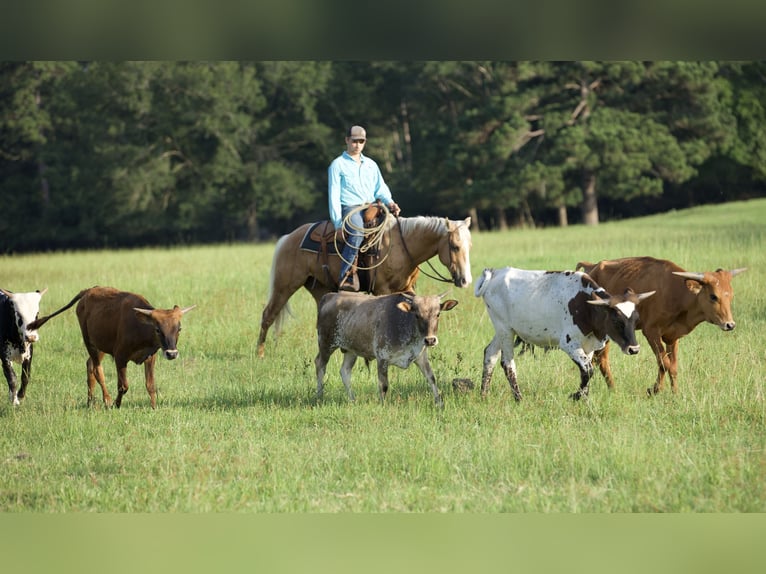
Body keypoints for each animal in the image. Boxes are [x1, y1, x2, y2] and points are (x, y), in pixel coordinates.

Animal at [29, 288, 198, 410]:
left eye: (179, 328)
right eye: (157, 329)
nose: (172, 353)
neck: (140, 327)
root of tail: (88, 291)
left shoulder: (150, 357)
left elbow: (150, 385)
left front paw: (154, 407)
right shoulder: (120, 356)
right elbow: (123, 386)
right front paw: (116, 405)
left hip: (100, 346)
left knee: (89, 365)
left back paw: (90, 401)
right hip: (89, 342)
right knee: (97, 370)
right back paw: (106, 400)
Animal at [260, 216, 474, 360]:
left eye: (470, 246)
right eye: (454, 246)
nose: (466, 280)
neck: (401, 246)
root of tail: (288, 237)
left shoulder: (407, 289)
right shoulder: (383, 290)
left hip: (320, 288)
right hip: (284, 286)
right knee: (268, 315)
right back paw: (259, 354)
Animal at [316, 292, 460, 410]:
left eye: (438, 314)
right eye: (417, 315)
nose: (430, 340)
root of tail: (329, 296)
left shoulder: (421, 357)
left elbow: (431, 378)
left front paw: (440, 403)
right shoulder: (382, 358)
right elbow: (384, 385)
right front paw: (383, 405)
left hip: (351, 350)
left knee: (345, 371)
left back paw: (352, 399)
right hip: (326, 344)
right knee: (320, 366)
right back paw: (319, 396)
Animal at [476, 268, 656, 400]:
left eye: (635, 319)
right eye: (616, 320)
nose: (634, 349)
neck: (585, 305)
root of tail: (494, 274)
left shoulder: (589, 347)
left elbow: (586, 372)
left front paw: (584, 398)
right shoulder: (569, 344)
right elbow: (588, 370)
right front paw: (576, 396)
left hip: (503, 331)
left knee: (490, 354)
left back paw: (484, 395)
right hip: (505, 330)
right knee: (507, 364)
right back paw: (519, 399)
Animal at [580, 258, 748, 396]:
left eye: (731, 295)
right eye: (713, 296)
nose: (730, 324)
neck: (676, 293)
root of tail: (592, 267)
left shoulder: (671, 337)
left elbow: (670, 366)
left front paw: (673, 393)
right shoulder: (651, 332)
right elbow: (665, 363)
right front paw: (655, 390)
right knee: (602, 360)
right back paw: (612, 389)